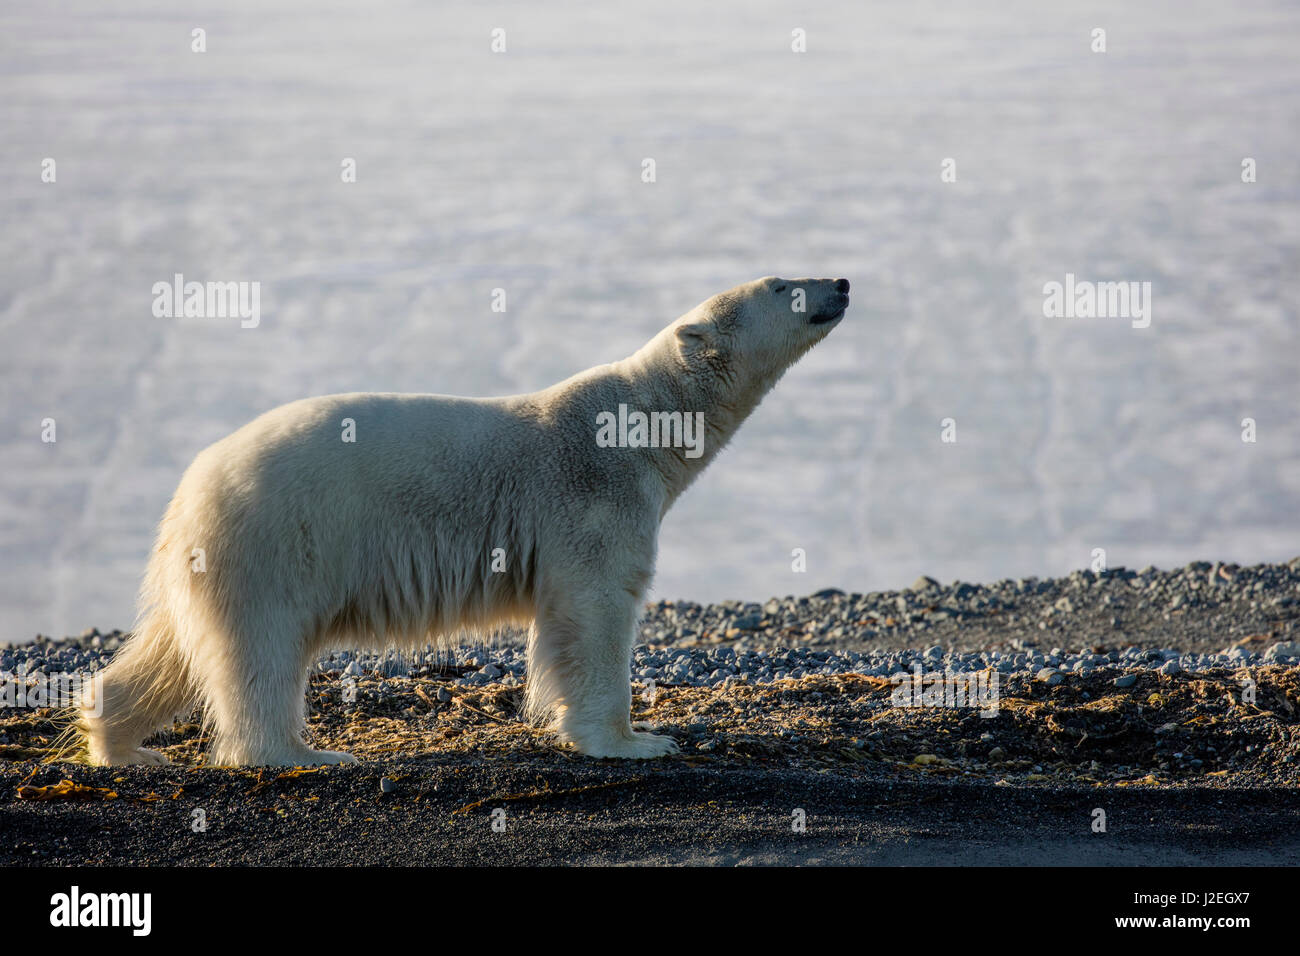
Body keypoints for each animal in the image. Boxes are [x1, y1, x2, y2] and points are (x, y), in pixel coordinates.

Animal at [78, 273, 852, 764]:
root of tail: (189, 487)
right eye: (781, 284)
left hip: (213, 558)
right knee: (259, 650)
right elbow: (596, 608)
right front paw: (637, 740)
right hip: (276, 537)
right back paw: (305, 753)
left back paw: (124, 745)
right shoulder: (594, 494)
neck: (642, 421)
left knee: (174, 651)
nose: (841, 283)